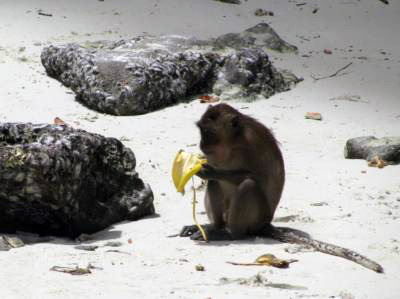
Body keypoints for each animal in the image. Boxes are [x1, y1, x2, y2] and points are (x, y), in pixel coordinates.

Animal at [180, 103, 382, 274]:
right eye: (202, 130)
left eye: (208, 132)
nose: (202, 145)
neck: (231, 143)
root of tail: (265, 223)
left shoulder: (250, 143)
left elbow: (253, 176)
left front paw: (208, 171)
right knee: (215, 184)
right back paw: (213, 227)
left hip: (256, 219)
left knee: (248, 185)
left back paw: (229, 234)